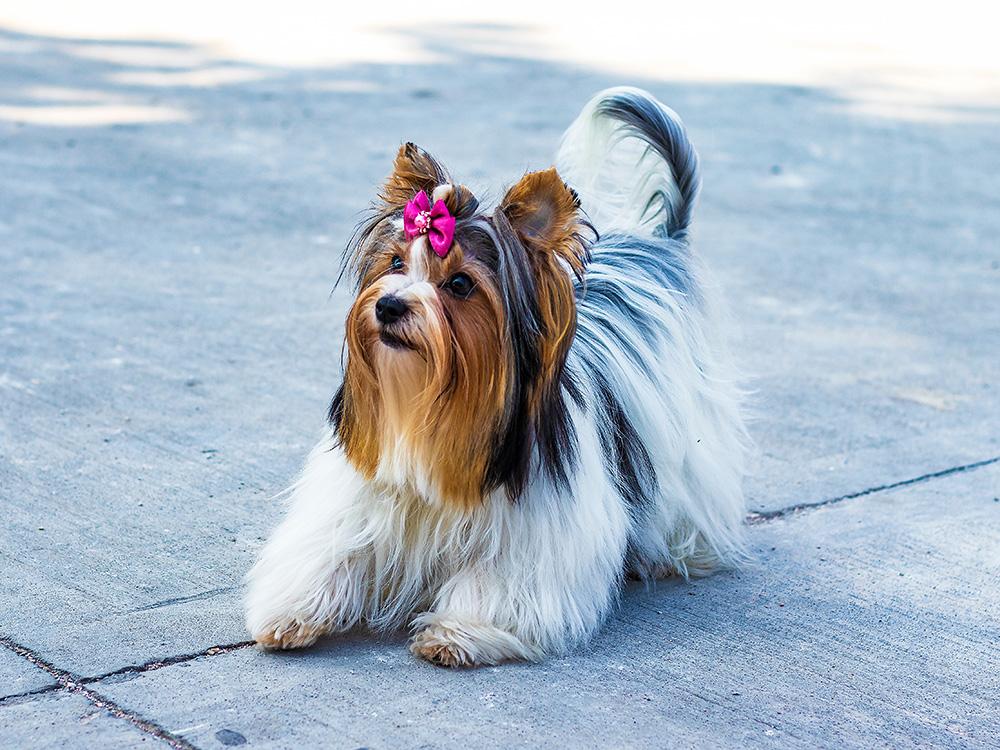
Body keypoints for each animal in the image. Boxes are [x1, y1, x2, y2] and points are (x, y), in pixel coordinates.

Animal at [246, 88, 748, 668]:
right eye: (394, 263)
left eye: (461, 284)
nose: (390, 306)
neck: (431, 404)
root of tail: (659, 247)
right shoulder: (364, 497)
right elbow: (332, 549)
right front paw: (292, 611)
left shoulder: (535, 529)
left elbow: (498, 580)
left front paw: (457, 630)